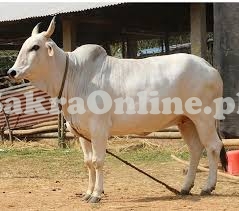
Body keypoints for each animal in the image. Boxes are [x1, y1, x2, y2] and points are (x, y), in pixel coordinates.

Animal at [7, 16, 228, 203]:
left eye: (35, 47)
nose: (12, 72)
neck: (74, 75)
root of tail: (209, 66)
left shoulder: (98, 129)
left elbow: (98, 161)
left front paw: (96, 195)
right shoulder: (82, 133)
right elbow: (88, 162)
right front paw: (87, 192)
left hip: (204, 118)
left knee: (213, 146)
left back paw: (208, 187)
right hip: (185, 121)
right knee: (195, 149)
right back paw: (185, 187)